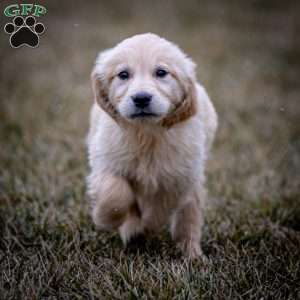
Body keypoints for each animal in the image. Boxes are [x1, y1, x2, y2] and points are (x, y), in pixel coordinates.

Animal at [86, 32, 218, 258]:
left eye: (161, 72)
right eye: (123, 74)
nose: (141, 98)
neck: (146, 134)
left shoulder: (180, 175)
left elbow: (161, 205)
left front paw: (145, 226)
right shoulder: (106, 160)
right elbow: (115, 192)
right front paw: (106, 218)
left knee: (188, 218)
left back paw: (192, 254)